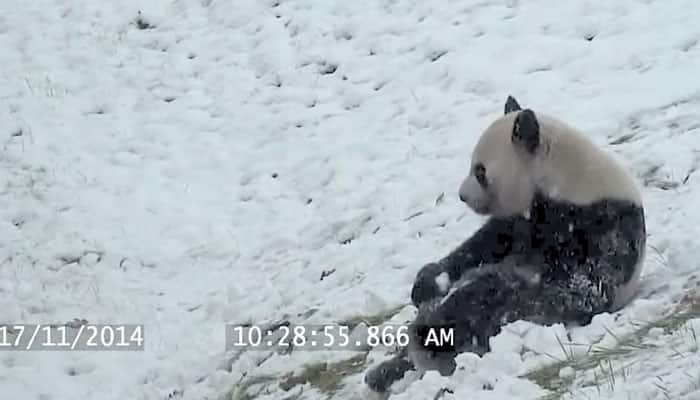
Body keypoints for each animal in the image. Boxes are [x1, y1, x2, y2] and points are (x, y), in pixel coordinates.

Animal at [366, 95, 644, 392]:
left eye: (480, 171)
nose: (462, 196)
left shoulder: (602, 222)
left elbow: (583, 285)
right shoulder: (518, 221)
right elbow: (481, 246)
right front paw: (428, 282)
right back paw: (386, 368)